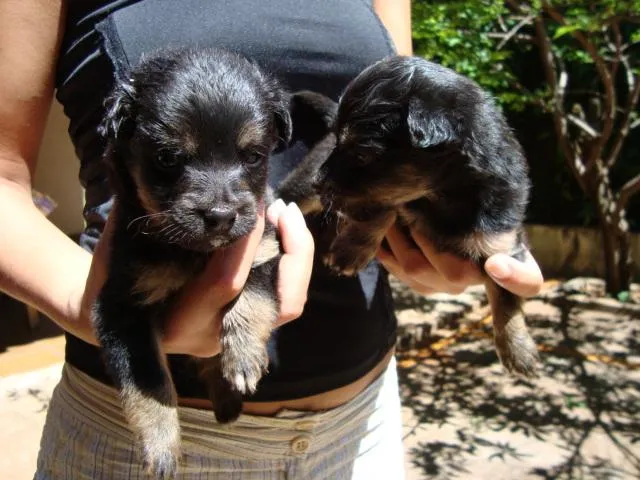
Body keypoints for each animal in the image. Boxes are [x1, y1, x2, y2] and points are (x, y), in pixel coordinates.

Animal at [93, 46, 292, 480]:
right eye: (168, 157)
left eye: (253, 156)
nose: (220, 216)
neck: (194, 252)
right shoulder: (121, 307)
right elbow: (148, 381)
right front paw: (162, 447)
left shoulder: (264, 248)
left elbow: (251, 297)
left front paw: (243, 356)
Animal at [280, 54, 540, 378]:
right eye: (342, 144)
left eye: (362, 154)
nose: (319, 181)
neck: (443, 195)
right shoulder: (385, 200)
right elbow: (381, 211)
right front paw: (350, 251)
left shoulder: (501, 244)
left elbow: (506, 298)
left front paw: (519, 351)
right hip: (302, 188)